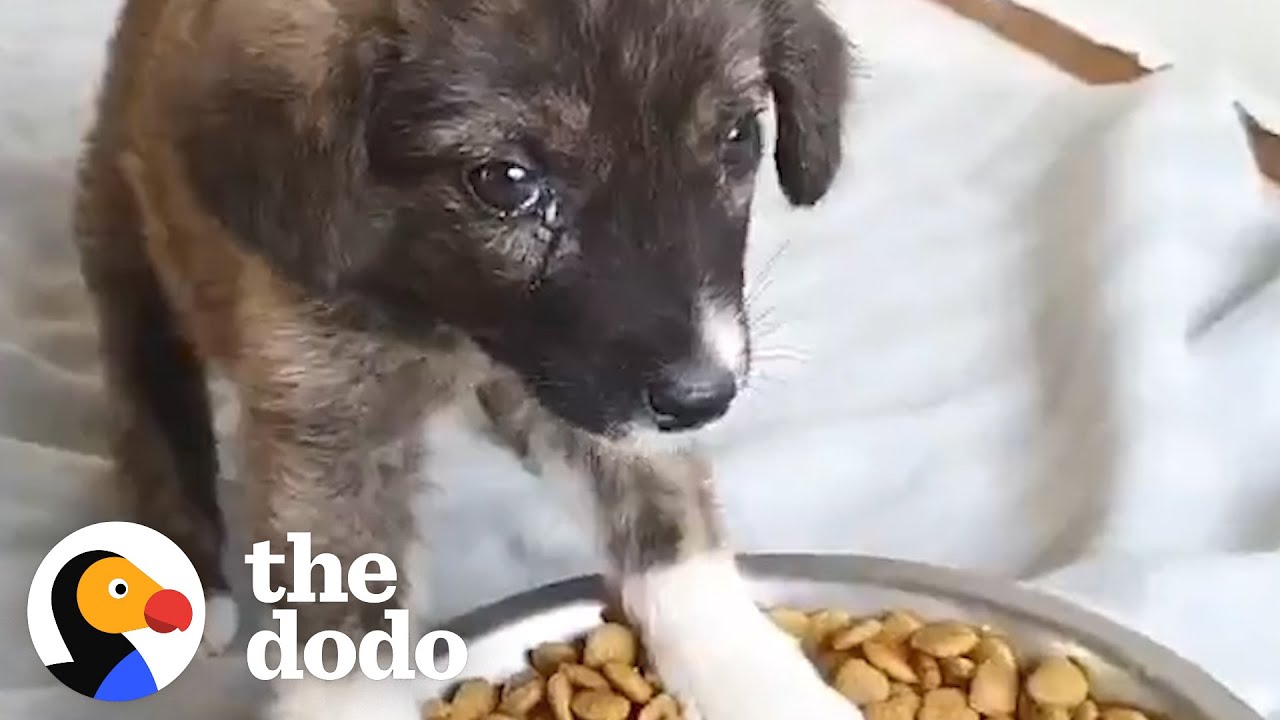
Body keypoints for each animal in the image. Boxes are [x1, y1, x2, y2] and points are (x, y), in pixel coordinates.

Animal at [72, 0, 849, 712]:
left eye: (738, 136)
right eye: (506, 180)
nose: (702, 400)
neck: (451, 318)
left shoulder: (596, 391)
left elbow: (668, 523)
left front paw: (759, 680)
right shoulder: (328, 420)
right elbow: (344, 622)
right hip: (123, 227)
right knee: (149, 396)